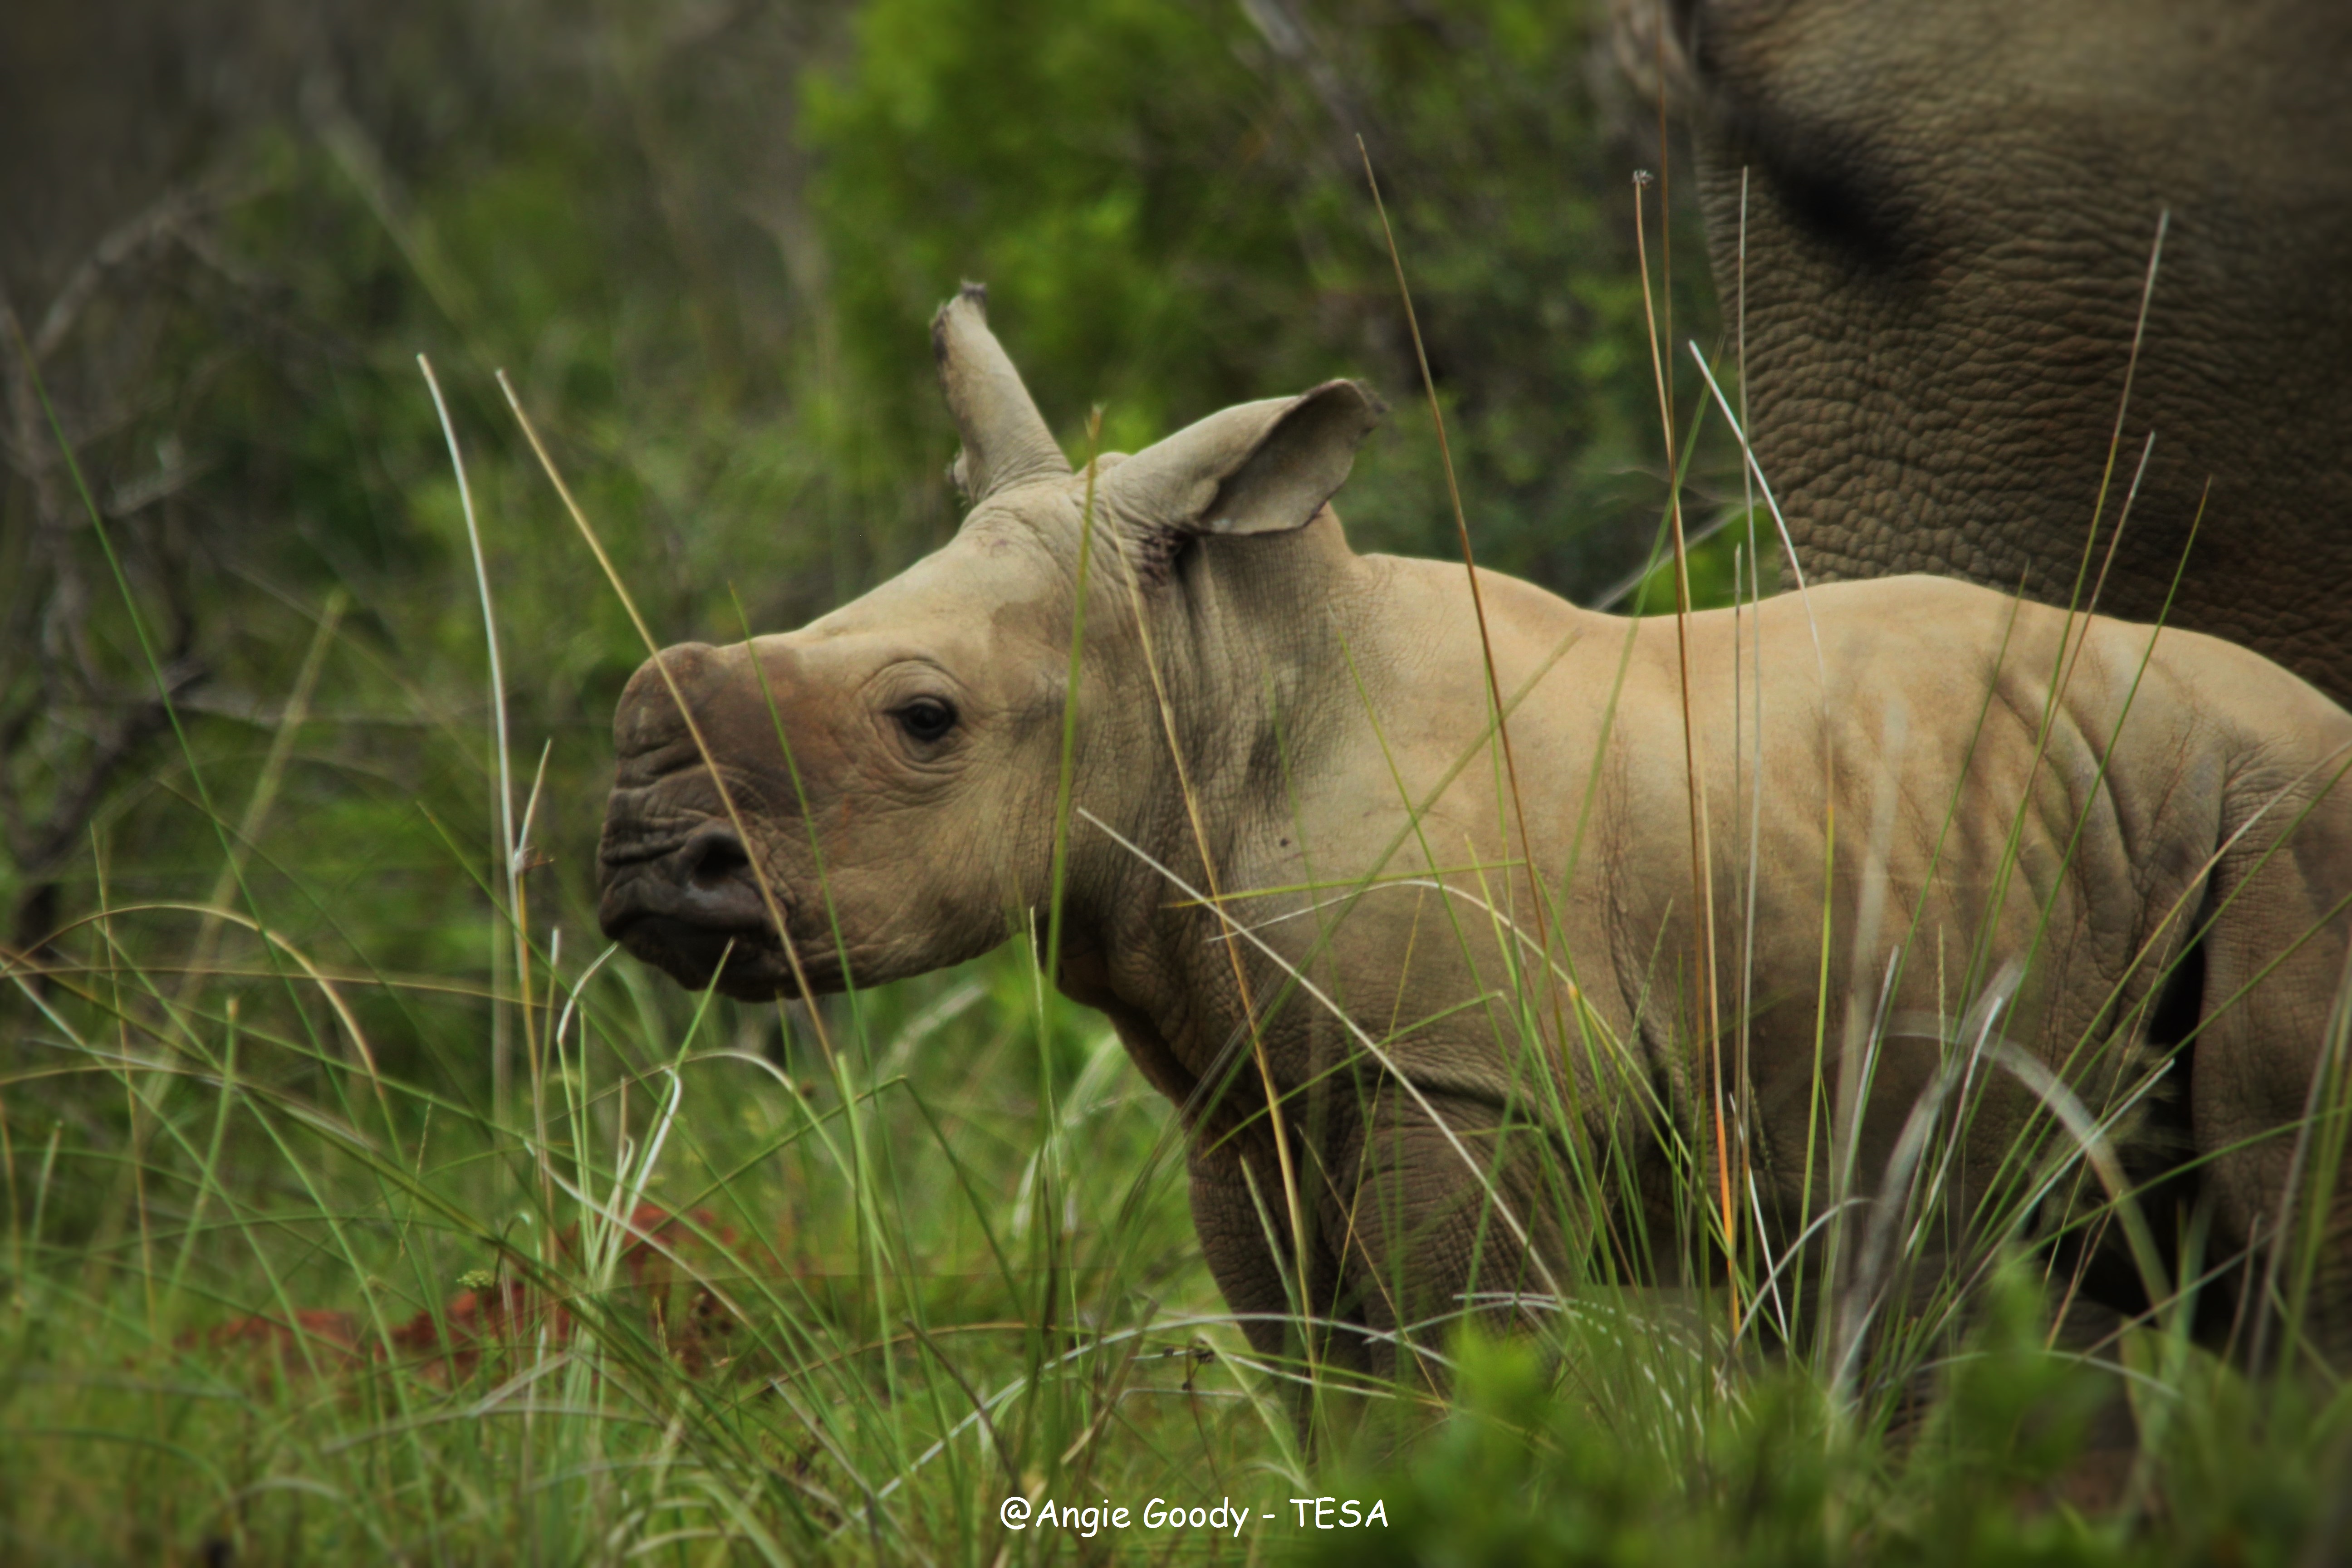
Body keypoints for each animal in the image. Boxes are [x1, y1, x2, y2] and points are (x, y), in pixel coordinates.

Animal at [597, 288, 2352, 1382]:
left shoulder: (1468, 1076)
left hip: (2291, 825)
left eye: (923, 719)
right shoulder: (1247, 1103)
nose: (640, 866)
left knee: (2281, 1244)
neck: (1216, 682)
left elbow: (1451, 1372)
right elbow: (1325, 1383)